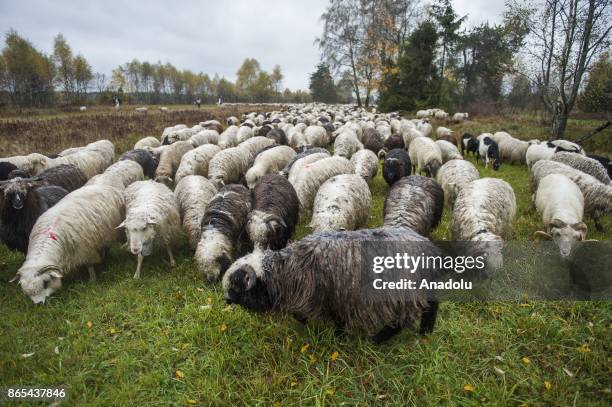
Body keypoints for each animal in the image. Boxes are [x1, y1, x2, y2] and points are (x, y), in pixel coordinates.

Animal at [222, 228, 442, 342]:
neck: (289, 270)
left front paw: (338, 338)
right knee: (432, 306)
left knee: (400, 322)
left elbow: (338, 322)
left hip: (405, 296)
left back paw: (376, 340)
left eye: (236, 286)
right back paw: (426, 331)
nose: (226, 300)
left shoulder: (336, 299)